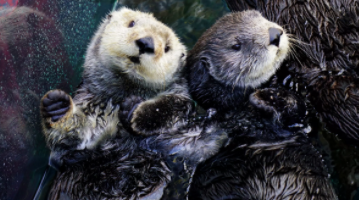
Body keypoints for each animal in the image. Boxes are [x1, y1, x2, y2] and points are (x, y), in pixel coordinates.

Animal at [40, 7, 228, 200]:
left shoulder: (181, 103)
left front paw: (134, 112)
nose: (146, 43)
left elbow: (175, 106)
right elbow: (74, 138)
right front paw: (58, 108)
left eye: (167, 47)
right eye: (132, 23)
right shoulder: (95, 105)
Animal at [187, 11, 338, 200]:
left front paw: (271, 93)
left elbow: (300, 111)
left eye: (259, 16)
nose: (275, 34)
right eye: (236, 45)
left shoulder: (306, 116)